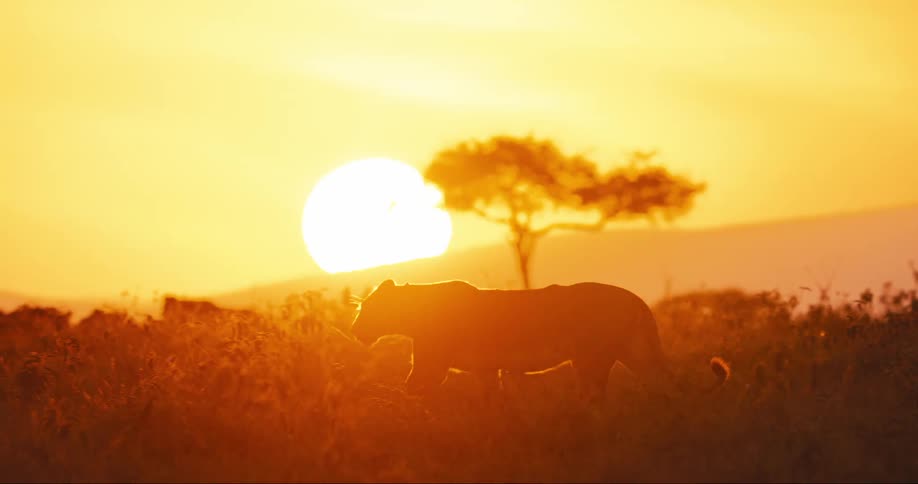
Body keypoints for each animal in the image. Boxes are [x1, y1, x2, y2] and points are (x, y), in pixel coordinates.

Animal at [350, 279, 672, 401]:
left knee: (594, 393)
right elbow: (492, 398)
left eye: (366, 308)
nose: (353, 329)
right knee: (656, 380)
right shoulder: (486, 368)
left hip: (591, 357)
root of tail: (636, 299)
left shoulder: (432, 366)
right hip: (632, 350)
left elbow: (414, 389)